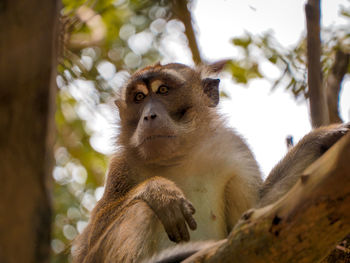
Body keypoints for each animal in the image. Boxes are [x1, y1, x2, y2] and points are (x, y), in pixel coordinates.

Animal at [72, 60, 262, 262]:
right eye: (139, 97)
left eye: (163, 90)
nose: (148, 116)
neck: (178, 158)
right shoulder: (121, 164)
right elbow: (89, 243)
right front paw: (158, 191)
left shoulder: (236, 153)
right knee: (141, 208)